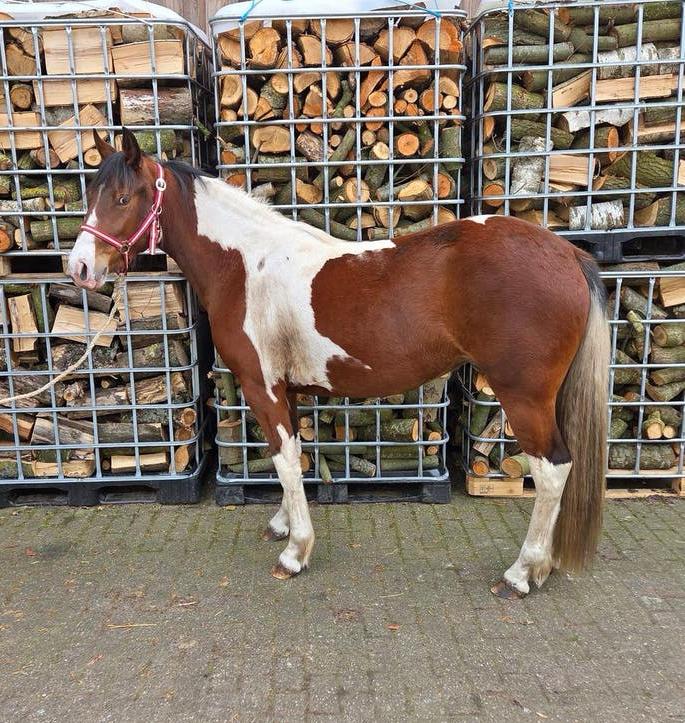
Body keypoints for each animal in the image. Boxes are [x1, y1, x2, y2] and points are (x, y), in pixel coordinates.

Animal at [67, 129, 609, 598]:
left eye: (122, 198)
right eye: (92, 193)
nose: (79, 268)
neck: (245, 265)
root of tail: (568, 255)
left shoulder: (262, 387)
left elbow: (285, 461)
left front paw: (295, 552)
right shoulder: (288, 391)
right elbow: (292, 457)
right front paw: (284, 524)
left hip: (523, 396)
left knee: (554, 471)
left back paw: (521, 574)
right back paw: (542, 567)